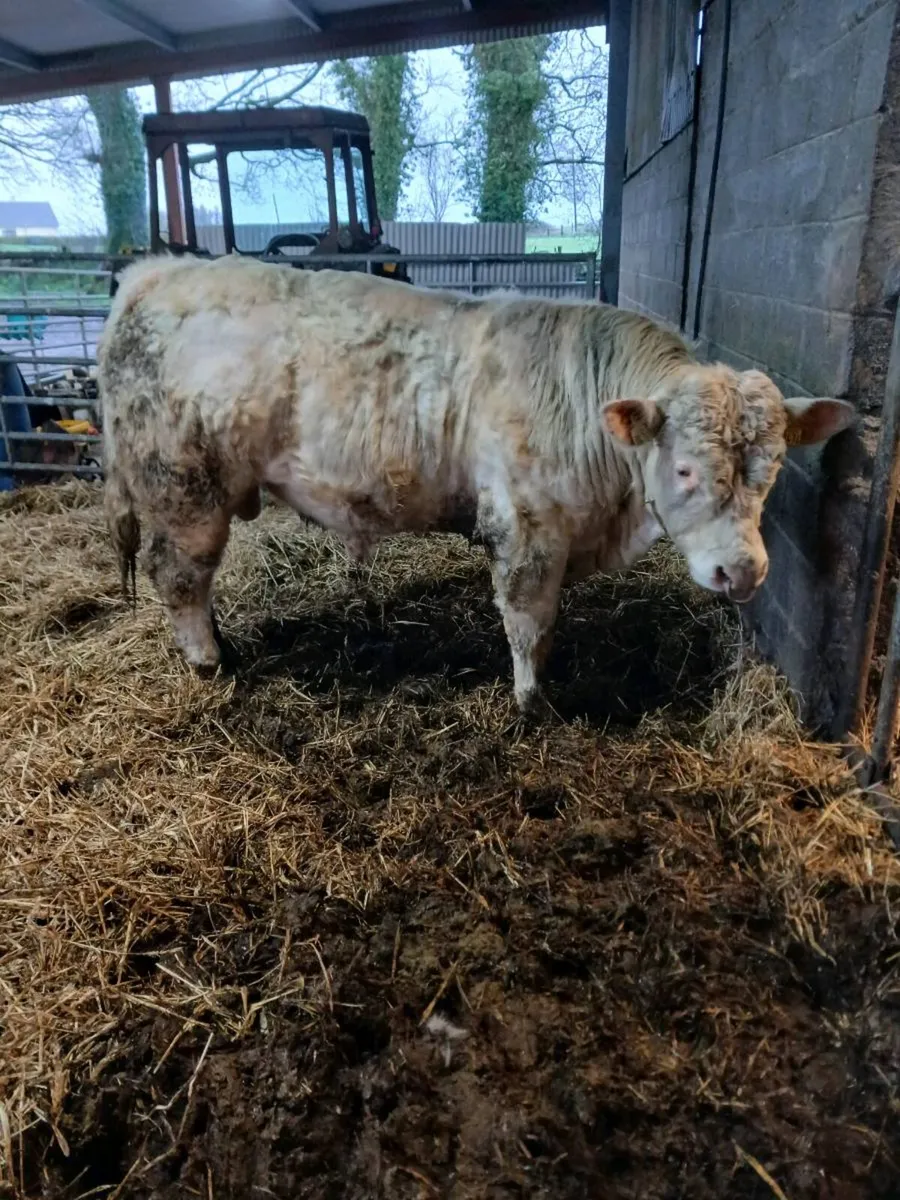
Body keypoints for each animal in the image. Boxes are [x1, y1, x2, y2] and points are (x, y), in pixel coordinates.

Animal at [98, 255, 853, 714]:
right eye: (687, 469)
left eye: (771, 474)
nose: (742, 571)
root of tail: (156, 272)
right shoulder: (527, 524)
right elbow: (527, 617)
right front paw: (531, 702)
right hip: (184, 488)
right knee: (178, 575)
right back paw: (208, 661)